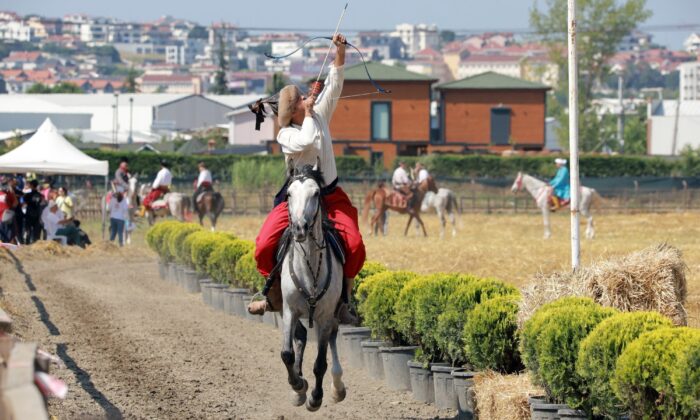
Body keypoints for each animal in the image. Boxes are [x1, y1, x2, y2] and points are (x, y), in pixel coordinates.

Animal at [278, 162, 344, 412]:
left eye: (316, 193)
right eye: (289, 194)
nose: (299, 228)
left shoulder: (325, 316)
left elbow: (320, 363)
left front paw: (315, 397)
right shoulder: (289, 310)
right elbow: (286, 353)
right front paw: (297, 385)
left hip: (333, 314)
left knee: (332, 338)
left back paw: (338, 387)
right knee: (301, 337)